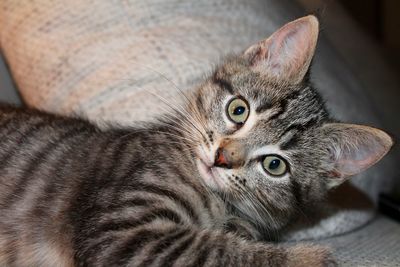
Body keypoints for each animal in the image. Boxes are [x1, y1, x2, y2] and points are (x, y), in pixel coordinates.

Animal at [0, 15, 394, 267]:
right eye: (238, 110)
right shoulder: (120, 228)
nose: (223, 157)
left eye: (274, 165)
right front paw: (309, 258)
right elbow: (214, 250)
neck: (217, 202)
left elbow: (225, 240)